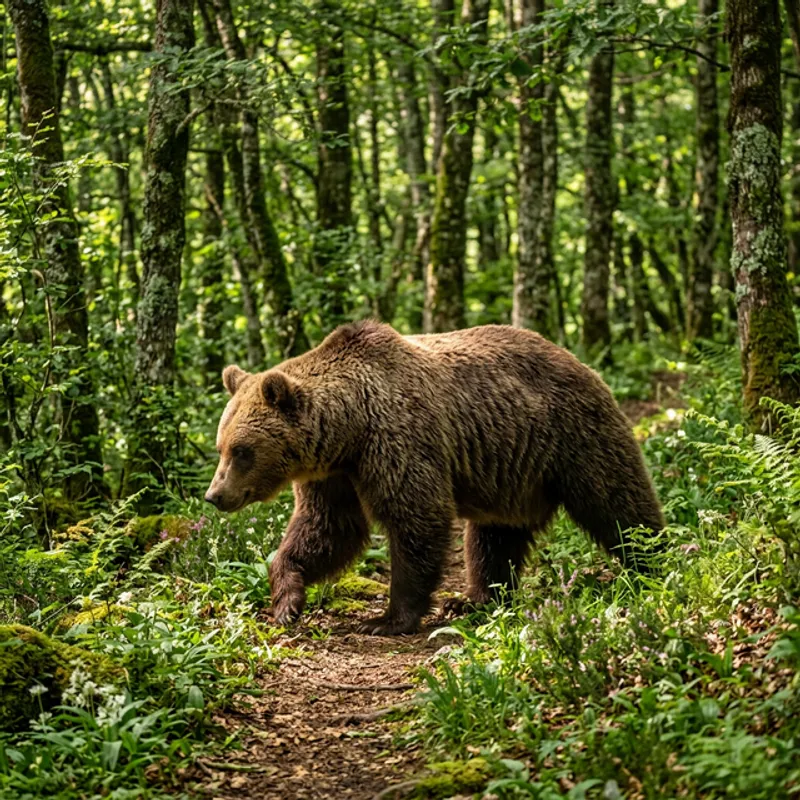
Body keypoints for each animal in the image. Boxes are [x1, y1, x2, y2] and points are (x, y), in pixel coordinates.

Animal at [205, 321, 664, 635]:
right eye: (220, 445)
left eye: (242, 451)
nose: (215, 495)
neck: (350, 428)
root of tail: (580, 361)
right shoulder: (334, 474)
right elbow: (327, 529)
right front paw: (286, 601)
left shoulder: (397, 439)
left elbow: (416, 518)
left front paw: (388, 618)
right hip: (513, 475)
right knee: (493, 539)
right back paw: (476, 601)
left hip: (574, 437)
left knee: (617, 504)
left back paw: (651, 564)